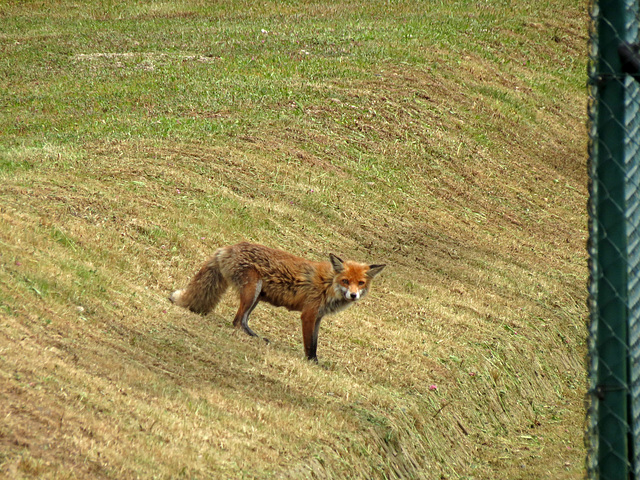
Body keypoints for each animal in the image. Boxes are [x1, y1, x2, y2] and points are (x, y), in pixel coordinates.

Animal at [170, 244, 384, 360]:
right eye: (346, 281)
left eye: (360, 283)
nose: (353, 295)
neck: (328, 285)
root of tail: (228, 248)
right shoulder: (308, 314)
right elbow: (310, 346)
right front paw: (311, 363)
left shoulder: (318, 317)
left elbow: (315, 343)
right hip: (252, 291)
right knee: (237, 321)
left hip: (255, 297)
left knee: (243, 320)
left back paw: (255, 337)